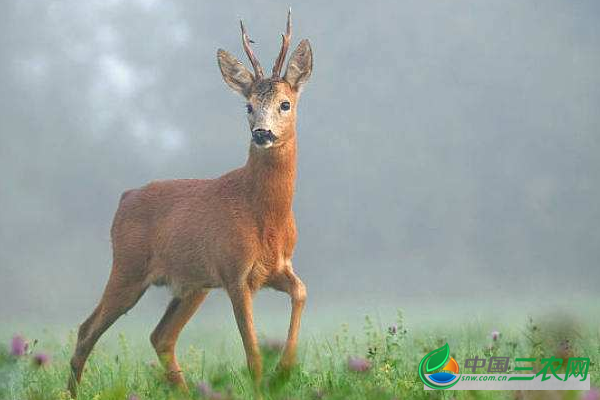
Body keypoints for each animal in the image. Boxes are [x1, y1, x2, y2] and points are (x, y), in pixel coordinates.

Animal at [69, 10, 314, 398]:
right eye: (248, 106)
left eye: (285, 103)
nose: (262, 133)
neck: (265, 216)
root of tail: (124, 198)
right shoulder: (234, 272)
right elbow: (252, 353)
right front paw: (266, 381)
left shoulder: (276, 267)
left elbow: (301, 292)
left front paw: (284, 370)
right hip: (128, 268)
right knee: (86, 330)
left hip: (191, 285)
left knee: (160, 336)